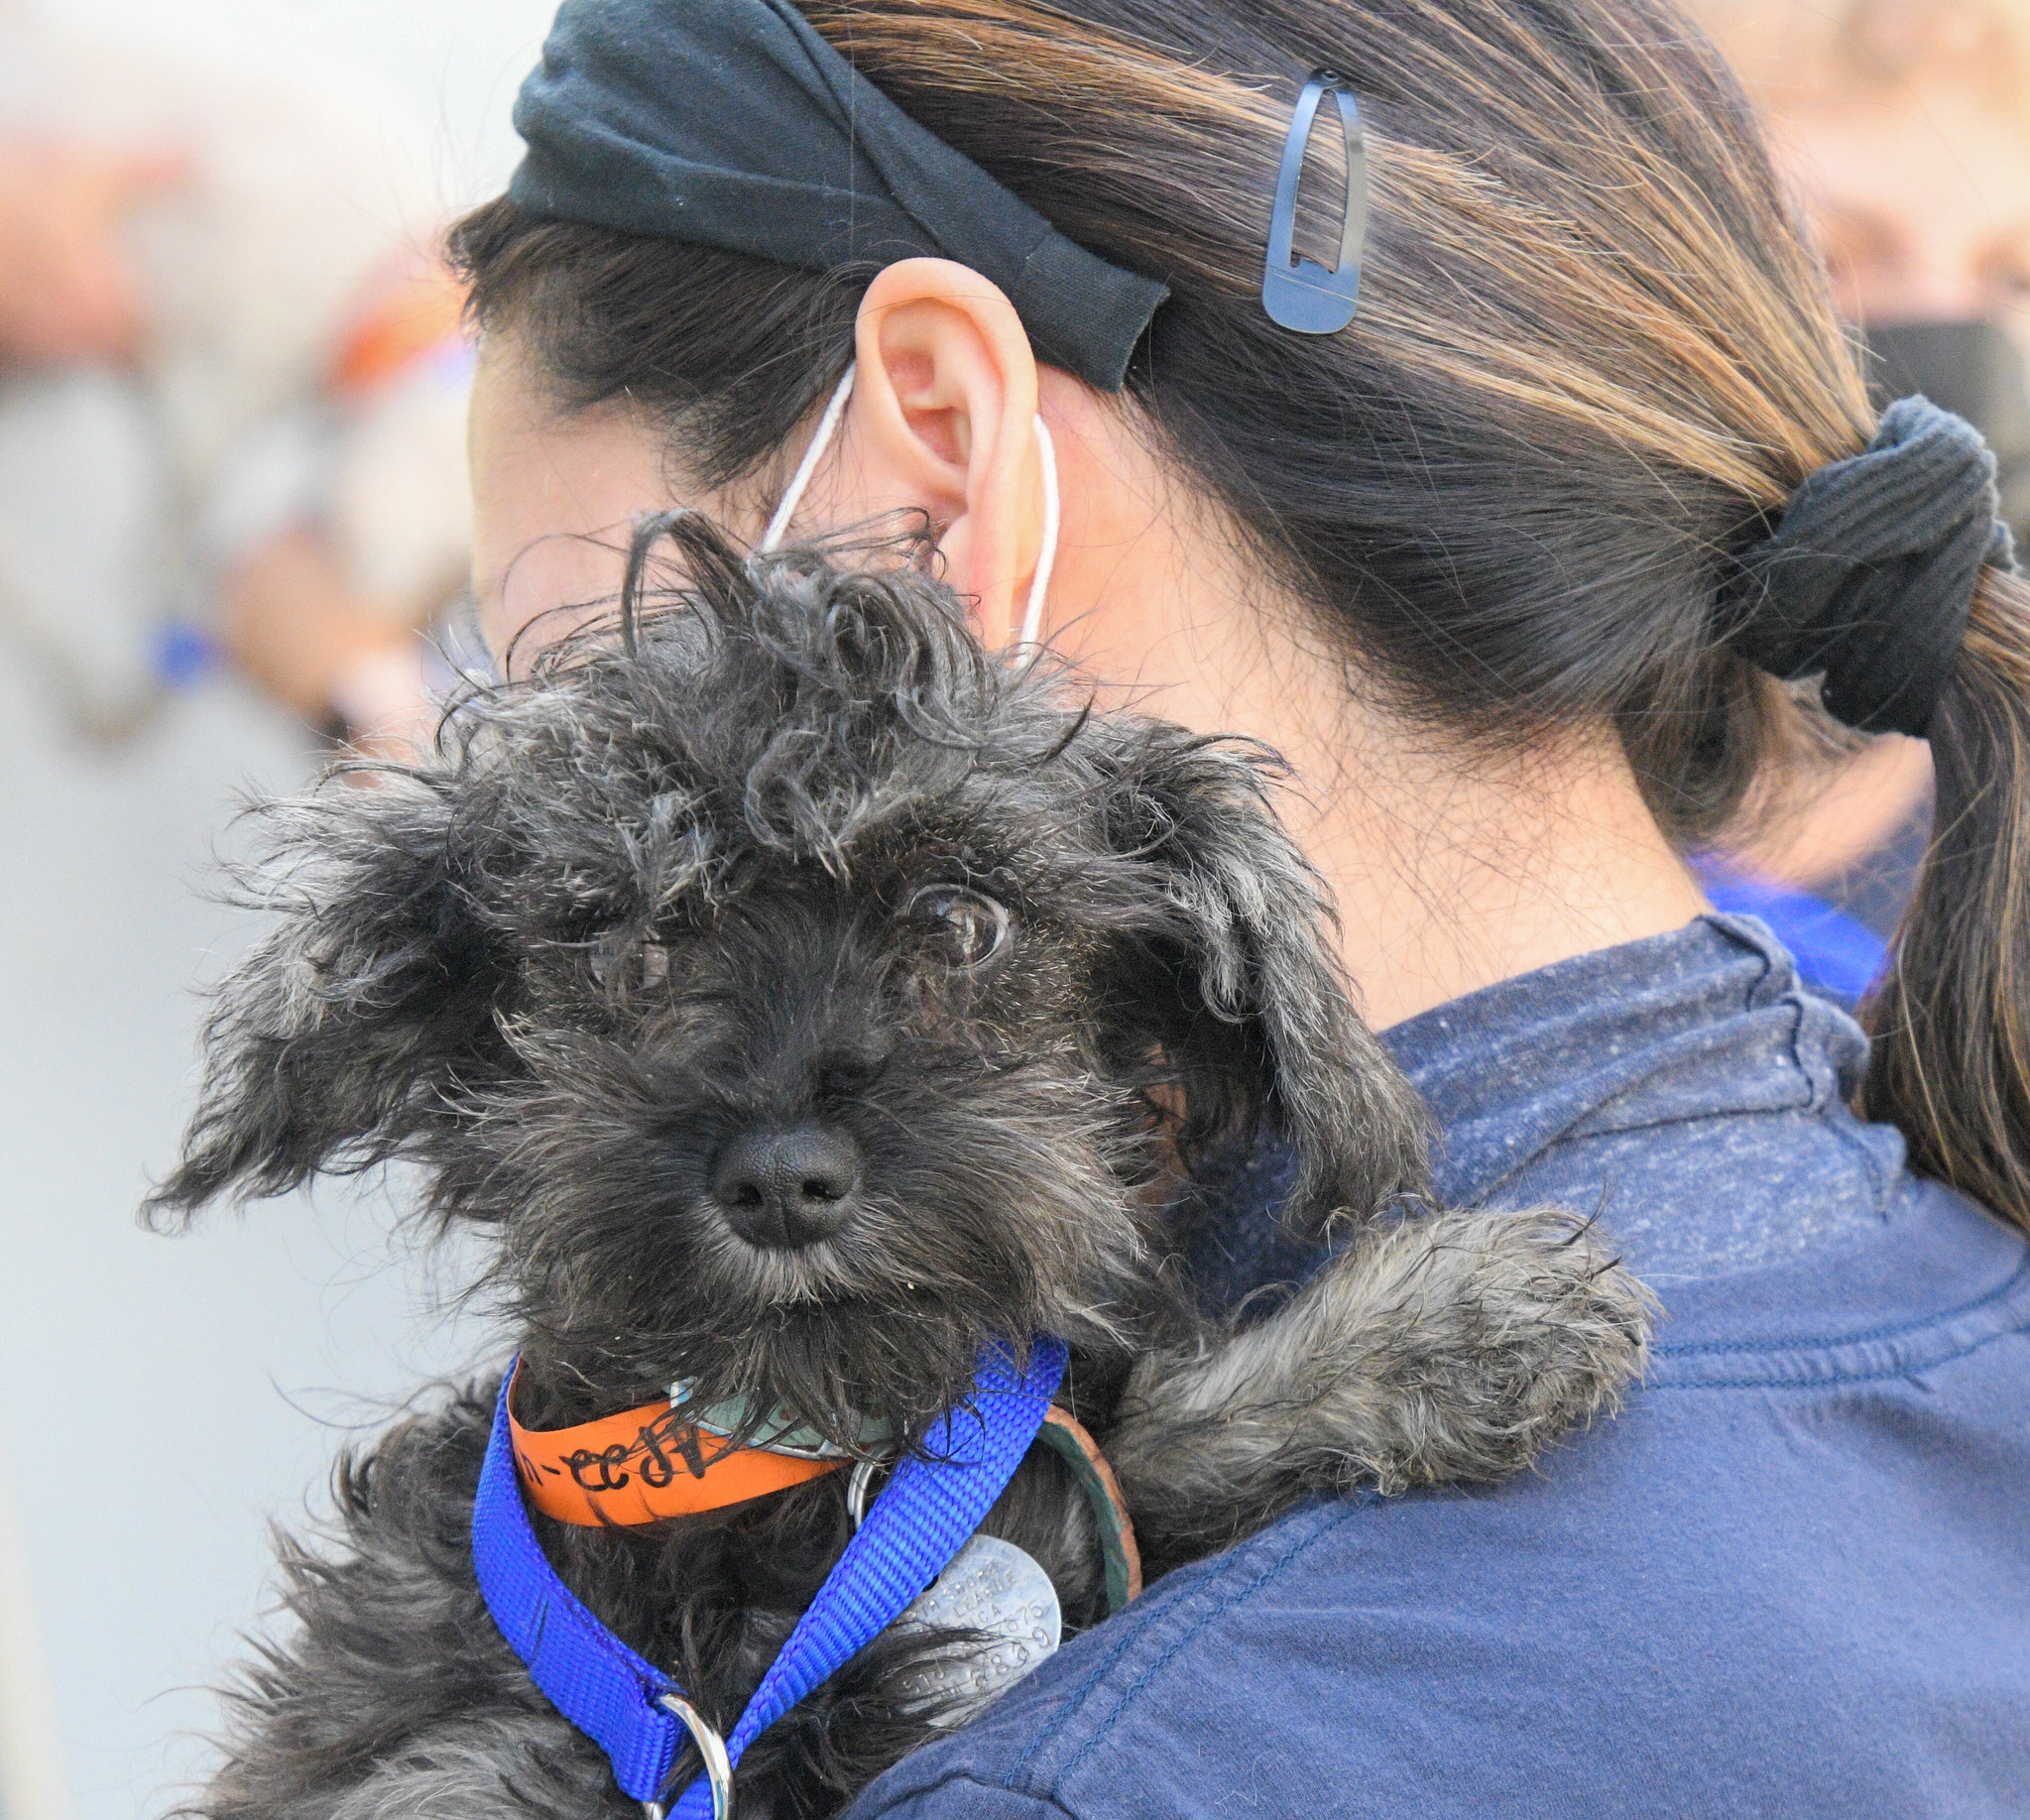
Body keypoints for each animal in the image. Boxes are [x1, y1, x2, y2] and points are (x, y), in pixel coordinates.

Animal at [154, 524, 1648, 1820]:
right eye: (623, 943)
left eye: (958, 917)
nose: (780, 1178)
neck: (809, 1484)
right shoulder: (453, 1752)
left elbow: (1127, 1446)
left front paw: (1447, 1327)